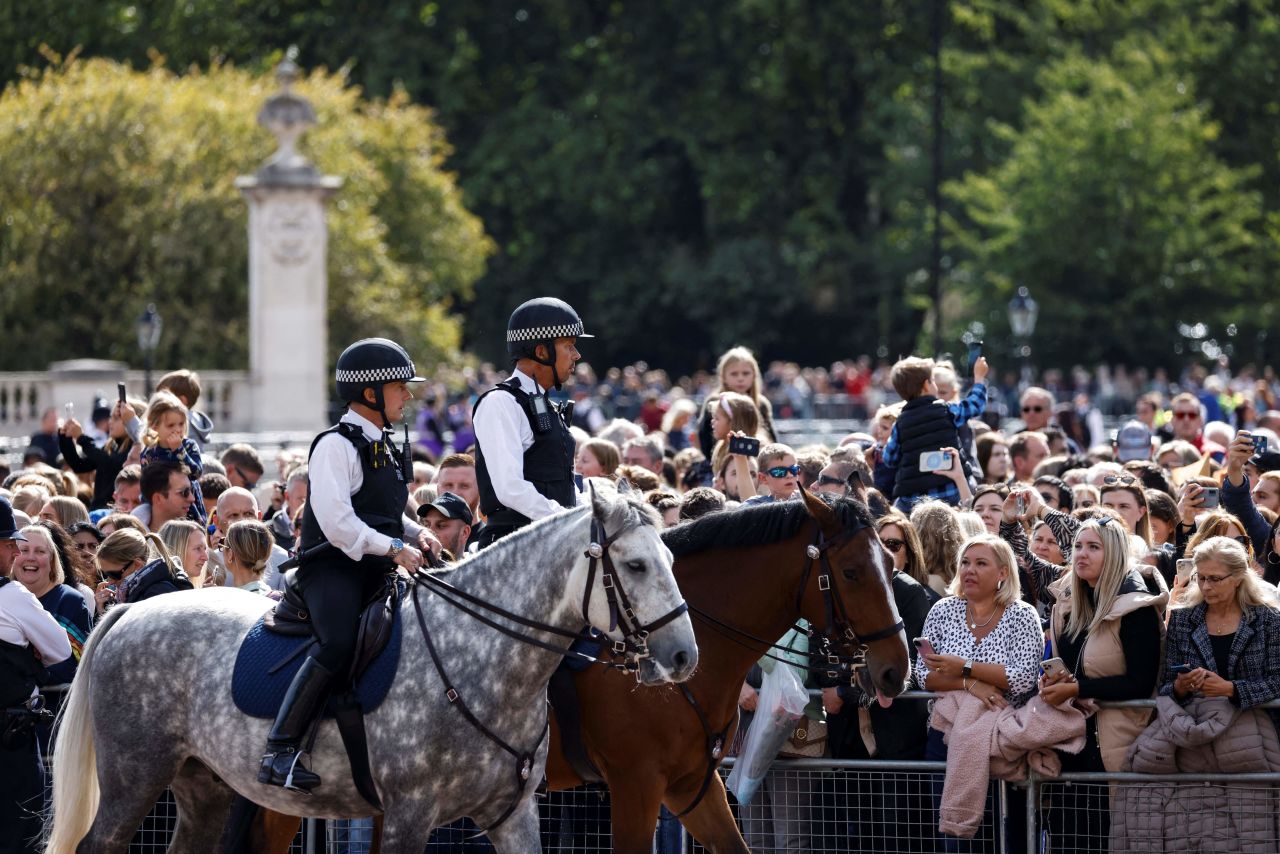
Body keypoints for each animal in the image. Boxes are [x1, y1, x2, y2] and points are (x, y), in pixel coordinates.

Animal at [47, 483, 701, 850]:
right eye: (636, 565)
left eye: (673, 559)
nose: (683, 656)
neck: (481, 659)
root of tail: (129, 609)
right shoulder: (409, 815)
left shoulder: (514, 816)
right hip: (135, 778)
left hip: (201, 786)